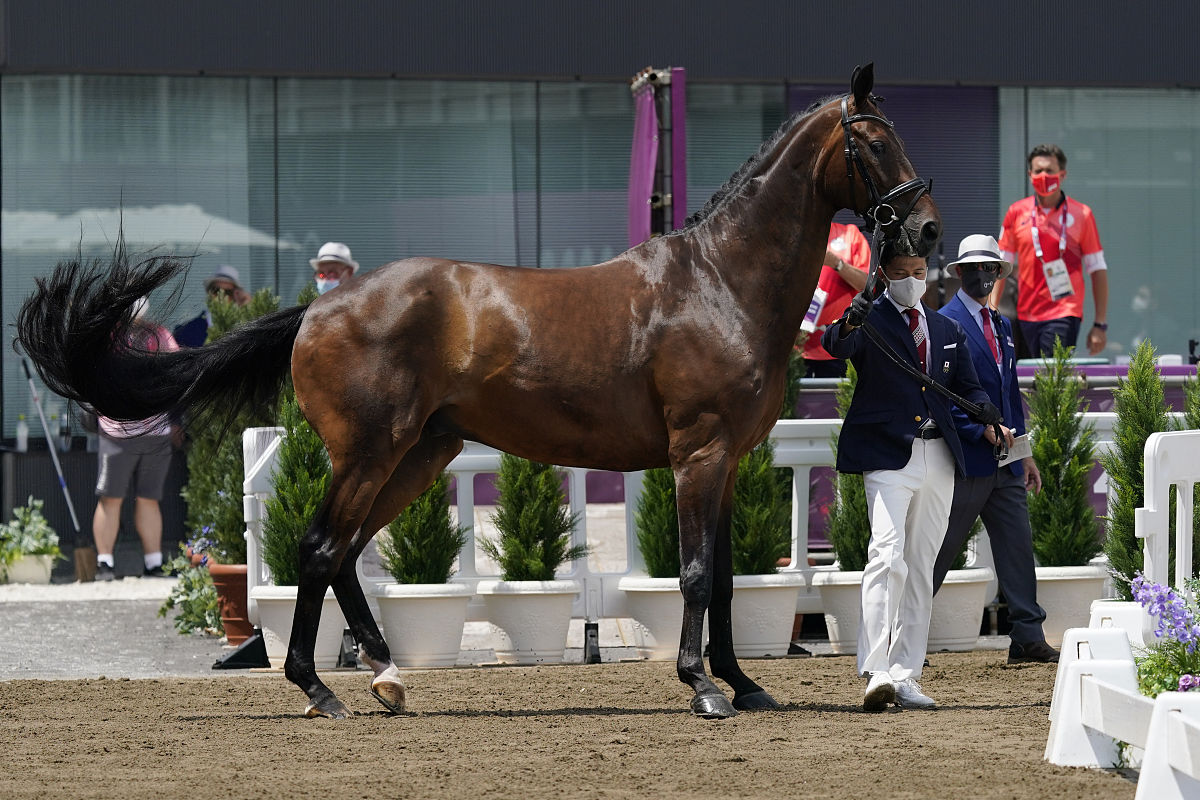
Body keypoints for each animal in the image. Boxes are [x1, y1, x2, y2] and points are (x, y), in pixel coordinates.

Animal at [16, 63, 939, 720]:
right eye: (873, 142)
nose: (926, 231)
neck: (718, 281)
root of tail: (321, 305)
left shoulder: (730, 462)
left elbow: (725, 582)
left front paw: (743, 683)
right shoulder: (698, 453)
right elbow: (697, 573)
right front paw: (703, 689)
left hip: (419, 455)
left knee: (344, 554)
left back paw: (385, 677)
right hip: (372, 451)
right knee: (319, 548)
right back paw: (322, 690)